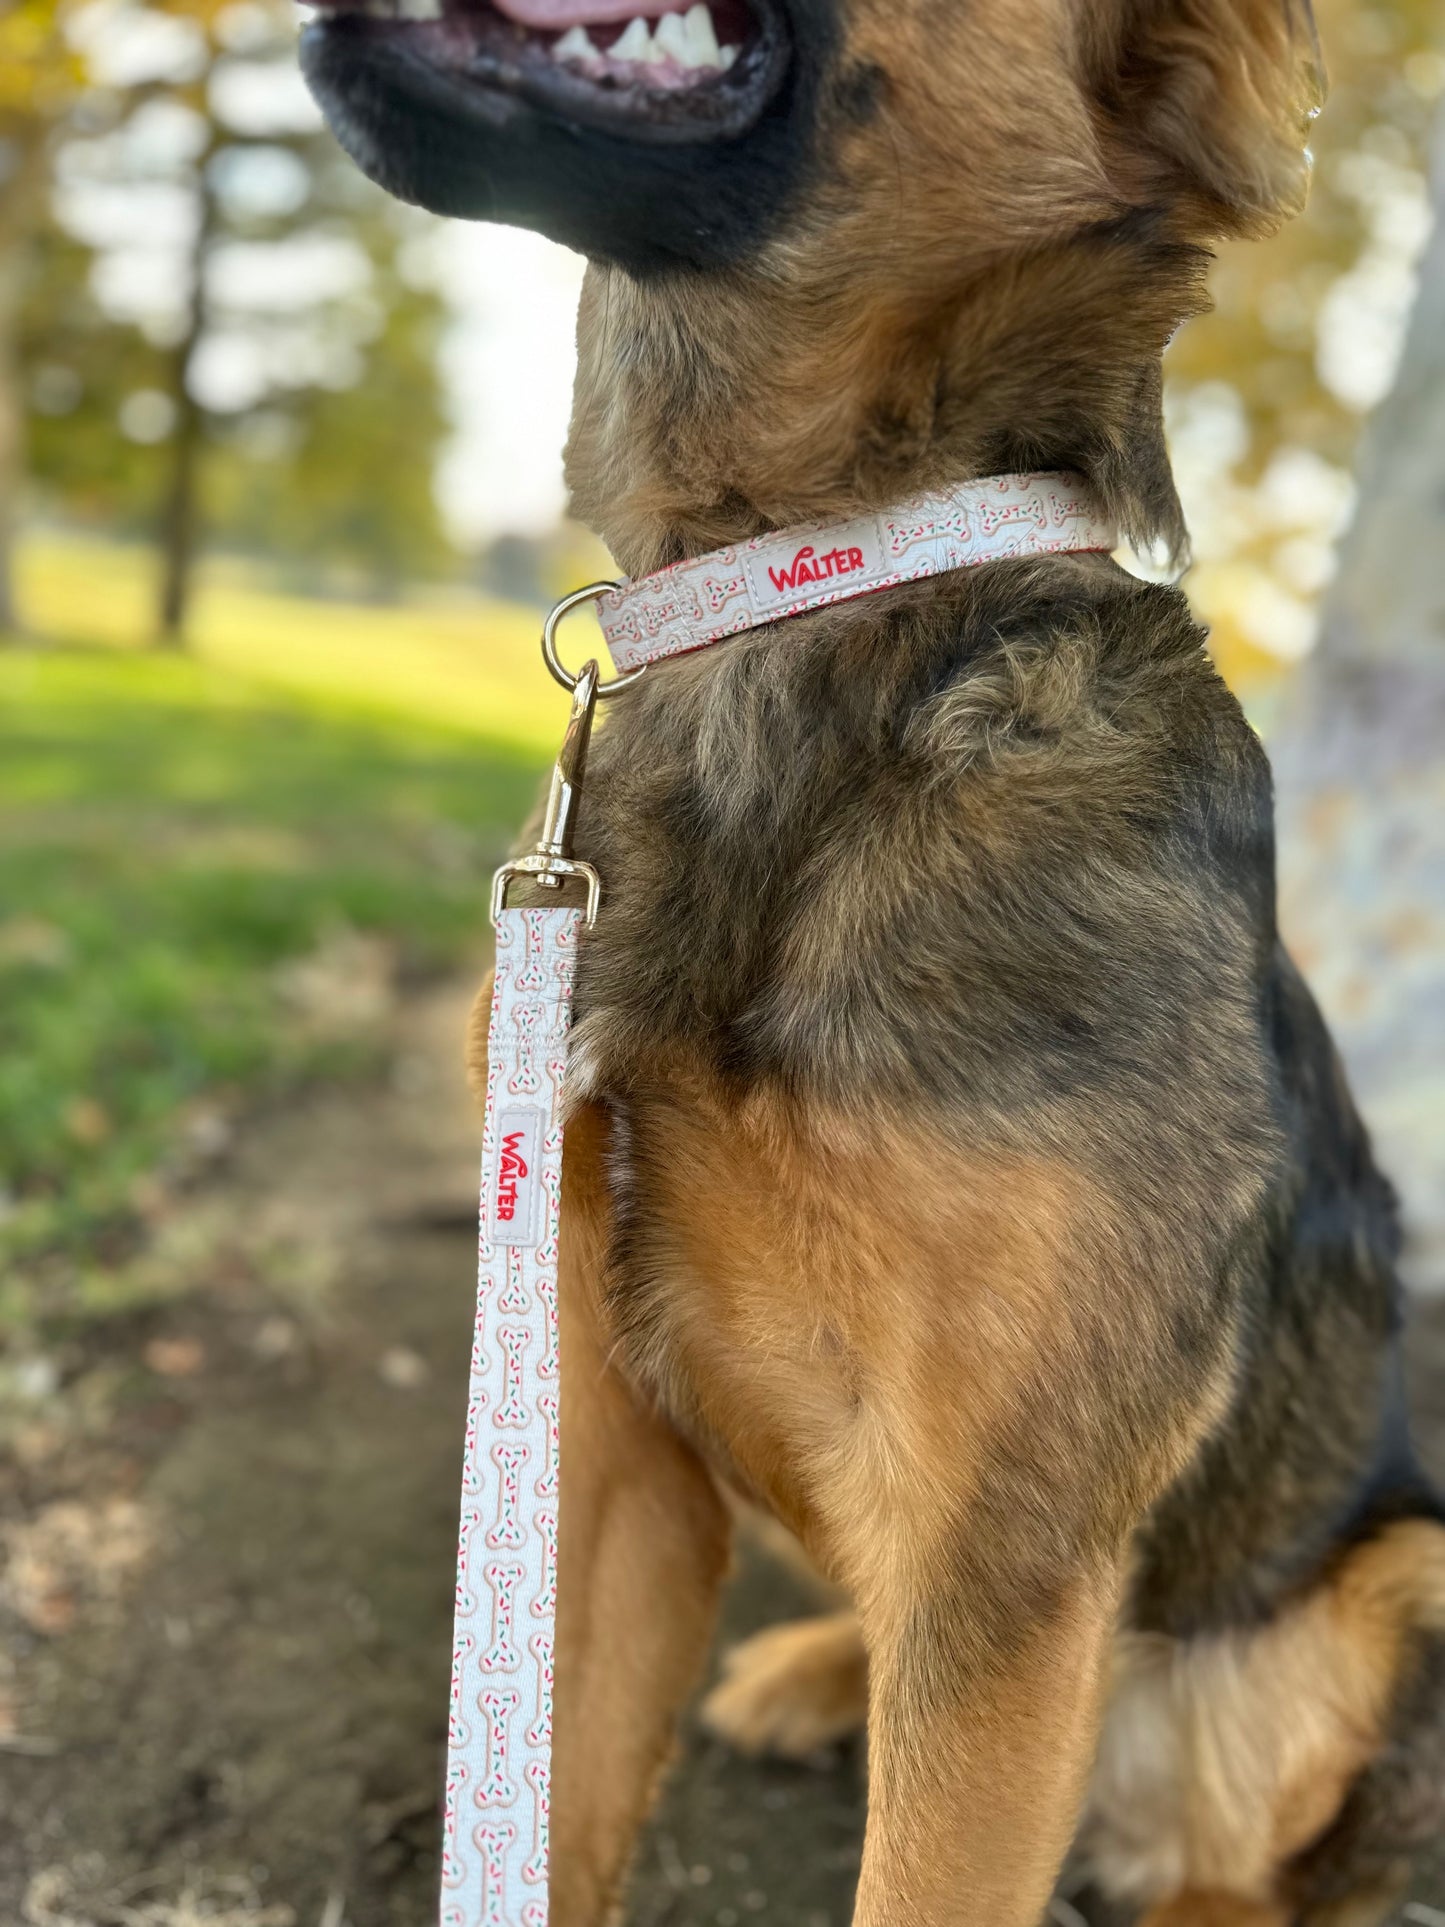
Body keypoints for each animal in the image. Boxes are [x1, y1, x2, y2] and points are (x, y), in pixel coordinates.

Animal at [300, 7, 1441, 1919]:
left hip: (1379, 1576)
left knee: (1252, 1869)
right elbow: (556, 1809)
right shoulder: (595, 1458)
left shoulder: (1012, 1544)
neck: (807, 588)